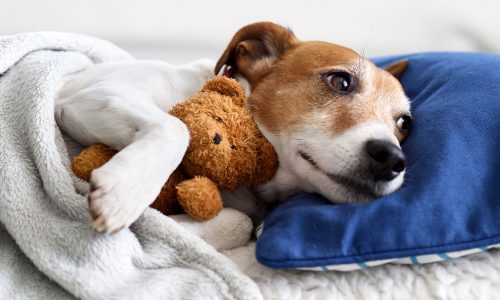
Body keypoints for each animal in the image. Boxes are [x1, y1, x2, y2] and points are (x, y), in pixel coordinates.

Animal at [56, 22, 412, 234]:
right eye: (340, 81)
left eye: (404, 123)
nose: (392, 160)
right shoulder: (91, 96)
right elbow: (176, 128)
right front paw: (124, 192)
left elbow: (239, 222)